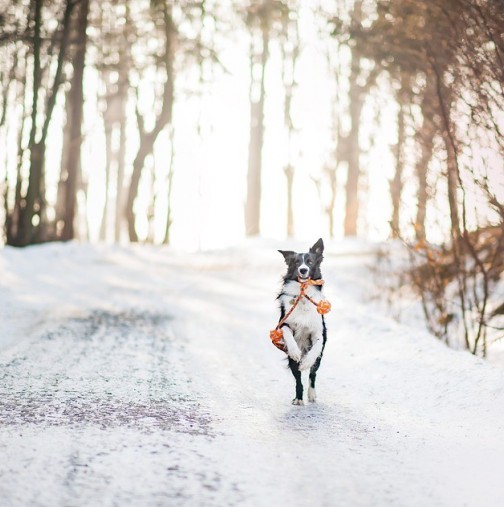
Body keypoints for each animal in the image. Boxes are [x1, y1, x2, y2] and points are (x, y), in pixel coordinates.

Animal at [276, 240, 326, 406]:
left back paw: (311, 394)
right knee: (298, 379)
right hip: (292, 364)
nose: (303, 270)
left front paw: (307, 362)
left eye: (310, 262)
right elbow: (287, 334)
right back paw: (298, 398)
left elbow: (317, 346)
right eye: (297, 262)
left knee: (312, 375)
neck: (303, 297)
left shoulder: (318, 331)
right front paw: (295, 351)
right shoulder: (283, 323)